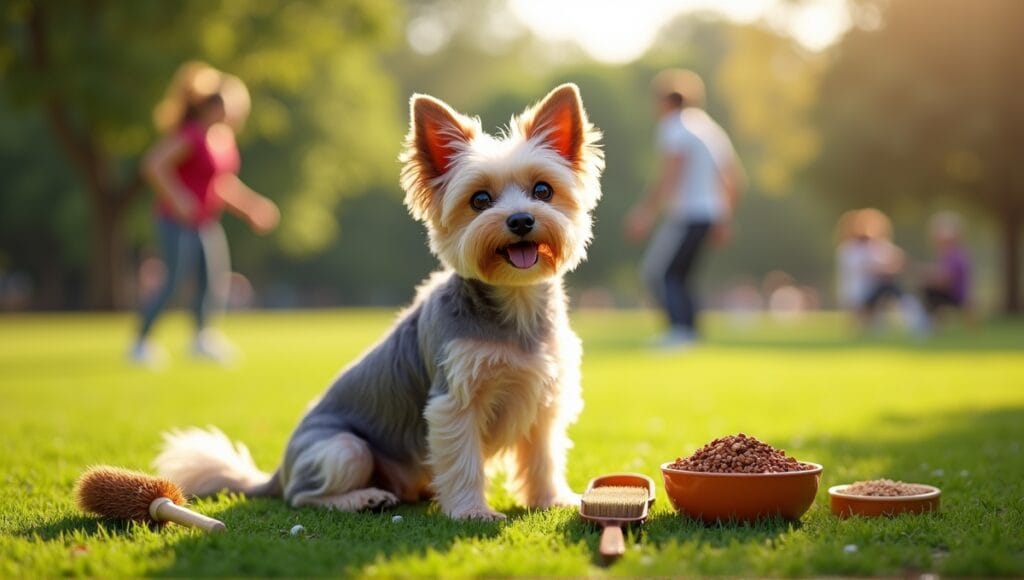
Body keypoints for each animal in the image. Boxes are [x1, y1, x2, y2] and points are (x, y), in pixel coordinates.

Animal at [155, 83, 602, 522]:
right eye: (479, 200)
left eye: (542, 190)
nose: (521, 220)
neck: (514, 302)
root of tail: (276, 474)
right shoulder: (453, 402)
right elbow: (463, 462)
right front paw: (472, 511)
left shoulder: (544, 397)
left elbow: (543, 457)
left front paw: (551, 499)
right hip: (342, 449)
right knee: (302, 496)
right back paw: (362, 499)